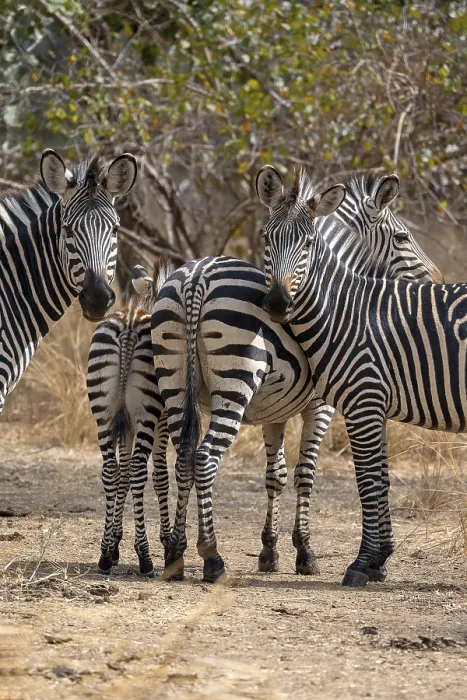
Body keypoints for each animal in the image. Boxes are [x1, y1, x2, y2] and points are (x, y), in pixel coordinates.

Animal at [87, 259, 174, 576]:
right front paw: (167, 542)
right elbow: (160, 475)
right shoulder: (162, 422)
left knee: (110, 469)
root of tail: (128, 324)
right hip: (147, 413)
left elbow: (121, 474)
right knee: (137, 470)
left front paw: (113, 544)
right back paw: (146, 558)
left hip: (103, 411)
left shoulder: (124, 426)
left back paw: (103, 556)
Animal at [152, 168, 441, 582]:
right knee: (205, 457)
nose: (437, 278)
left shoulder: (273, 411)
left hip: (173, 381)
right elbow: (306, 472)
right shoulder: (320, 406)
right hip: (235, 383)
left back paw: (175, 553)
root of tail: (197, 278)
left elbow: (275, 474)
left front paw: (269, 551)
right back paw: (212, 557)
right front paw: (305, 552)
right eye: (403, 237)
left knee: (184, 456)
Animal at [258, 164, 464, 587]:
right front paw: (373, 560)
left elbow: (351, 478)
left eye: (309, 244)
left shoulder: (348, 403)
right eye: (266, 239)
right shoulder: (354, 405)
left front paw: (356, 560)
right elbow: (368, 478)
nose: (277, 303)